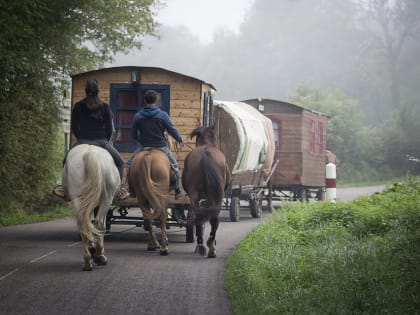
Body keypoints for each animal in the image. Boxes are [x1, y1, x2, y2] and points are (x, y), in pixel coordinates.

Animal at [181, 126, 231, 260]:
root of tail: (206, 154)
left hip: (196, 195)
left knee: (197, 216)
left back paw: (201, 245)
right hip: (217, 197)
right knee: (214, 219)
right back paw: (211, 247)